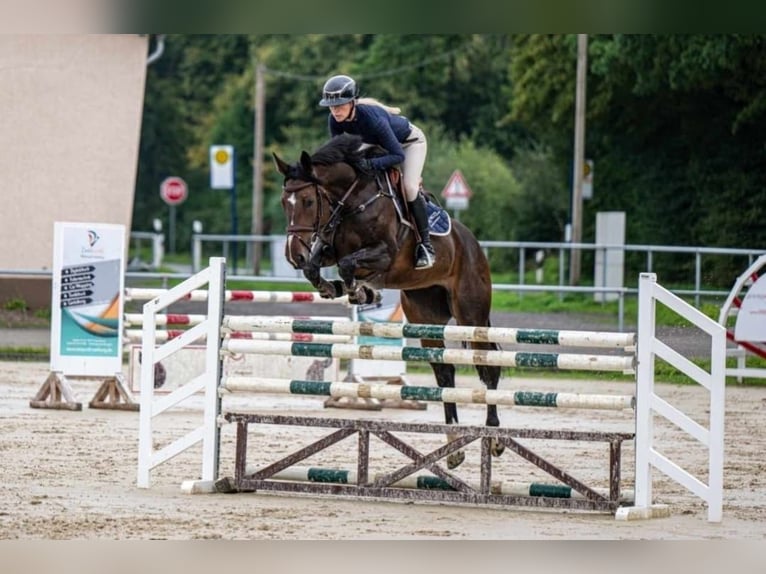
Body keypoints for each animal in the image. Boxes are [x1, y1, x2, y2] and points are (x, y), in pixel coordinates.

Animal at [274, 134, 504, 468]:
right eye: (284, 203)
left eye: (307, 201)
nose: (294, 255)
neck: (351, 201)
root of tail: (473, 244)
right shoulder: (330, 246)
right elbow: (319, 267)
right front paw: (344, 289)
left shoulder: (385, 254)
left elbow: (348, 265)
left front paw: (359, 290)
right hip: (425, 316)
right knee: (444, 372)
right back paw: (454, 448)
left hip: (470, 315)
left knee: (487, 366)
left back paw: (495, 437)